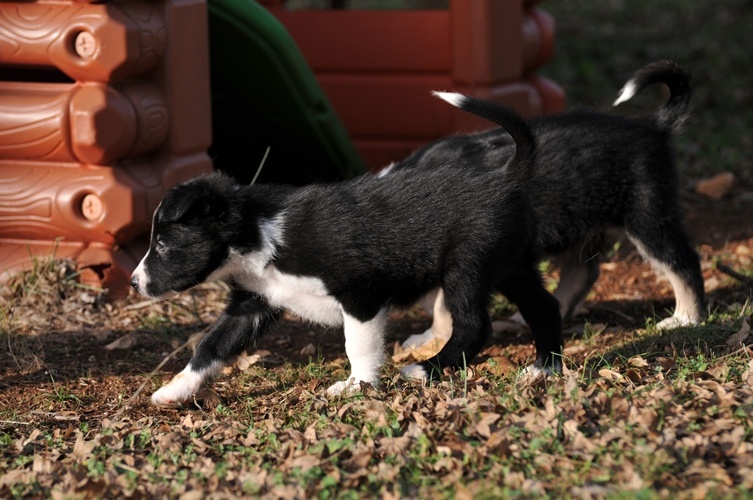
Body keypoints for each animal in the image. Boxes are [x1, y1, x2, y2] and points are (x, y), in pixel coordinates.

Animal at [132, 103, 560, 404]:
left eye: (163, 245)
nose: (134, 283)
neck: (259, 232)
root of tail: (507, 178)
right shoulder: (252, 302)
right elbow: (211, 345)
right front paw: (176, 390)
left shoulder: (361, 294)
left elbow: (358, 345)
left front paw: (358, 386)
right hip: (512, 266)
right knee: (545, 307)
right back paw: (545, 369)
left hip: (467, 266)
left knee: (474, 325)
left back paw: (424, 370)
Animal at [400, 59, 704, 352]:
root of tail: (653, 126)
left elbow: (442, 304)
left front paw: (429, 338)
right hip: (576, 223)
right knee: (582, 272)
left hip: (646, 212)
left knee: (683, 262)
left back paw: (685, 318)